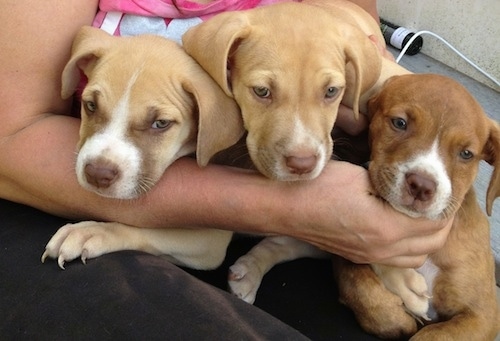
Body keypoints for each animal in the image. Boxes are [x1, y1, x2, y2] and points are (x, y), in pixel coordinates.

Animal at [334, 74, 498, 340]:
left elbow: (436, 335)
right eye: (400, 123)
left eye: (466, 154)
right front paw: (398, 317)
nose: (422, 185)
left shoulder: (483, 315)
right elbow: (357, 283)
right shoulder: (348, 255)